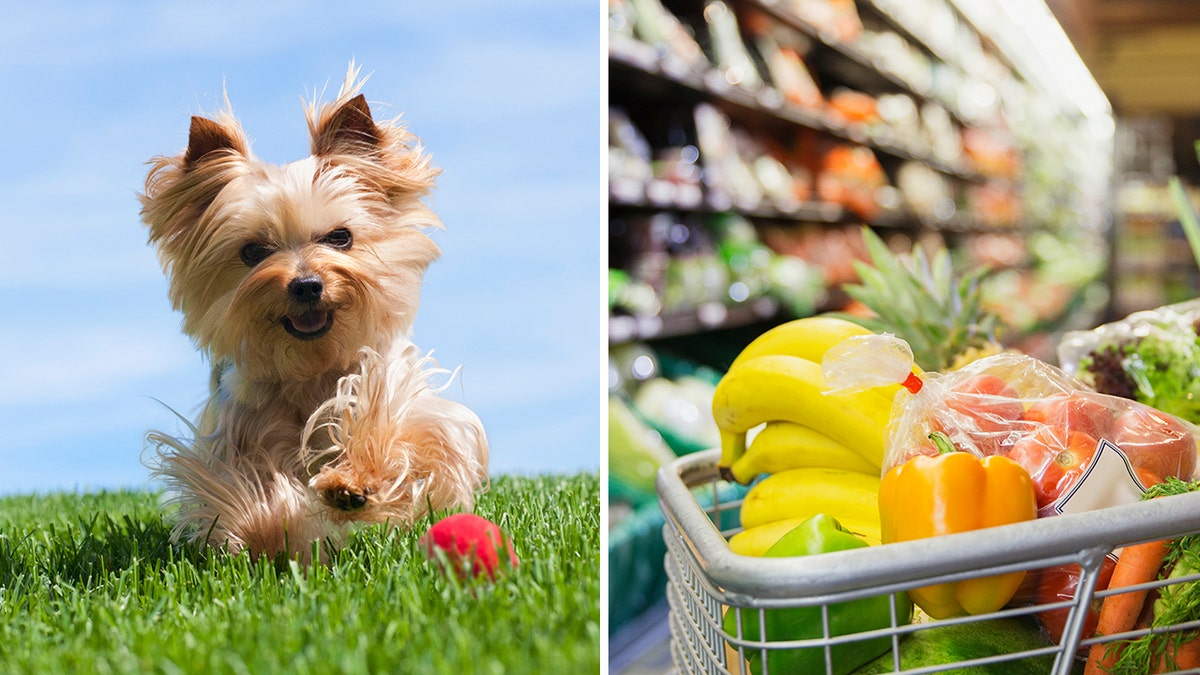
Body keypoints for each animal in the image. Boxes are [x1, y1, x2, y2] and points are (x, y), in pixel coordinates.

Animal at [135, 64, 482, 557]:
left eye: (340, 237)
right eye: (253, 252)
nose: (306, 284)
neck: (311, 365)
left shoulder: (397, 392)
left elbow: (405, 433)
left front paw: (353, 484)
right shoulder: (241, 431)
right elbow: (248, 487)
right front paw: (273, 526)